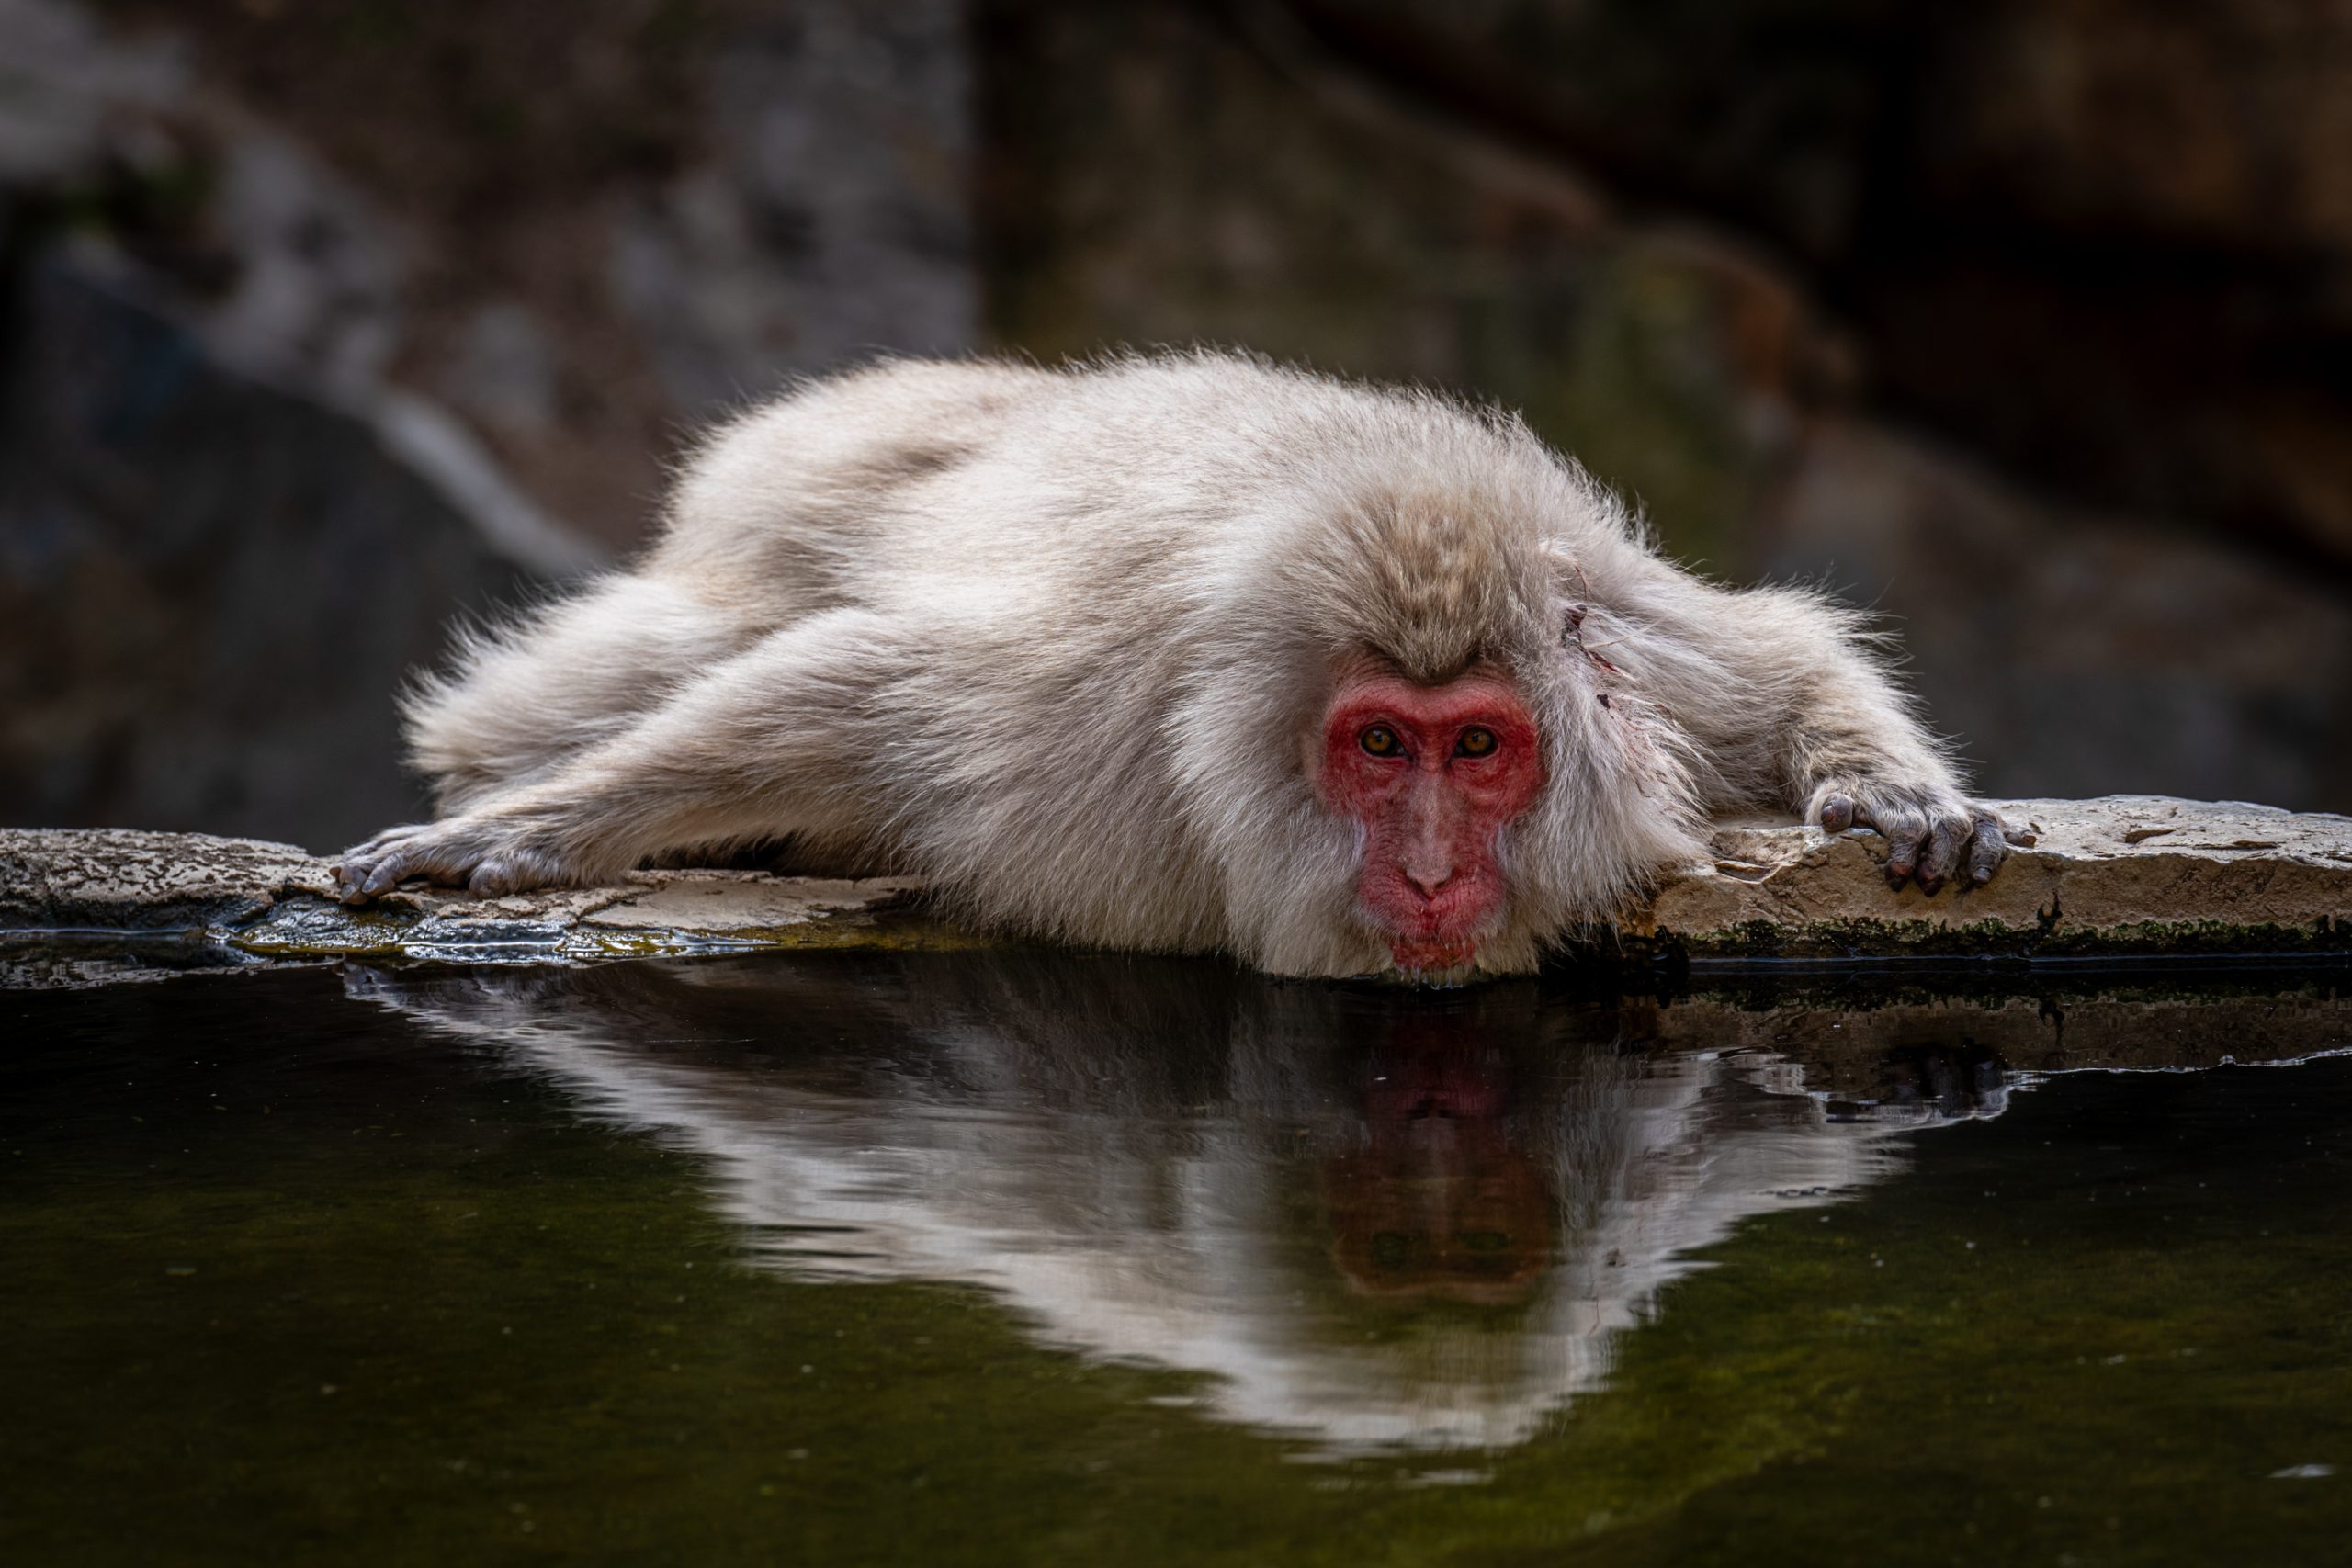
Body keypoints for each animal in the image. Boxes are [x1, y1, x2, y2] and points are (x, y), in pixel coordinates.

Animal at [334, 351, 2019, 979]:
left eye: (1478, 749)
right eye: (1381, 748)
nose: (1425, 867)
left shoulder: (1622, 639)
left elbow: (1767, 649)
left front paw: (1890, 794)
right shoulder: (1083, 717)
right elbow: (858, 682)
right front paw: (530, 832)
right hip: (790, 488)